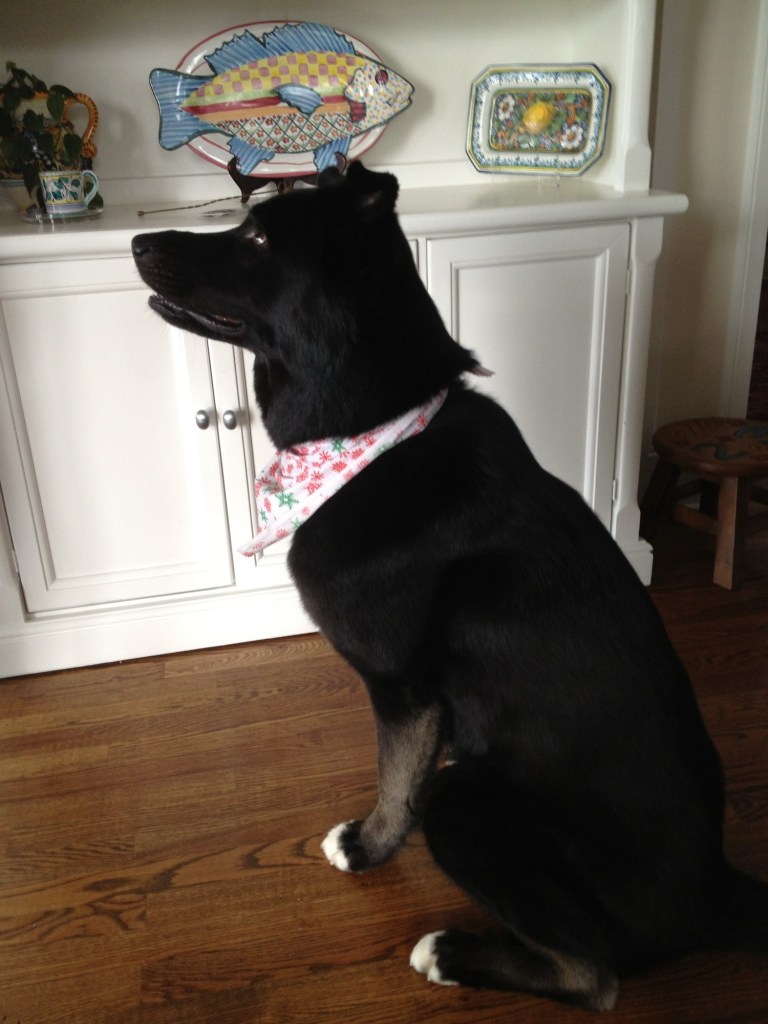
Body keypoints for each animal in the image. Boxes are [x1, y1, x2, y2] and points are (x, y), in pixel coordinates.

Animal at [133, 161, 767, 1011]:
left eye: (259, 238)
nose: (137, 243)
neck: (376, 428)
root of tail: (716, 897)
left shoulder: (404, 691)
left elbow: (397, 783)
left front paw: (368, 847)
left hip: (465, 800)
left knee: (595, 975)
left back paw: (451, 953)